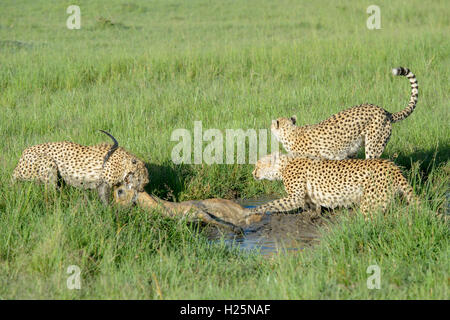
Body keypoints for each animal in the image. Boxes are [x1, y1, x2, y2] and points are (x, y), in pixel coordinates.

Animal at [11, 131, 149, 204]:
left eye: (145, 182)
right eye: (141, 179)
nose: (142, 189)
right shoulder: (104, 182)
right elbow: (105, 198)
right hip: (49, 164)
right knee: (51, 193)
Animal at [248, 152, 416, 218]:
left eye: (258, 166)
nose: (253, 173)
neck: (284, 165)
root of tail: (391, 165)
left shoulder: (295, 197)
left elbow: (271, 204)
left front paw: (250, 212)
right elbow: (313, 206)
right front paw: (311, 215)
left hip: (370, 204)